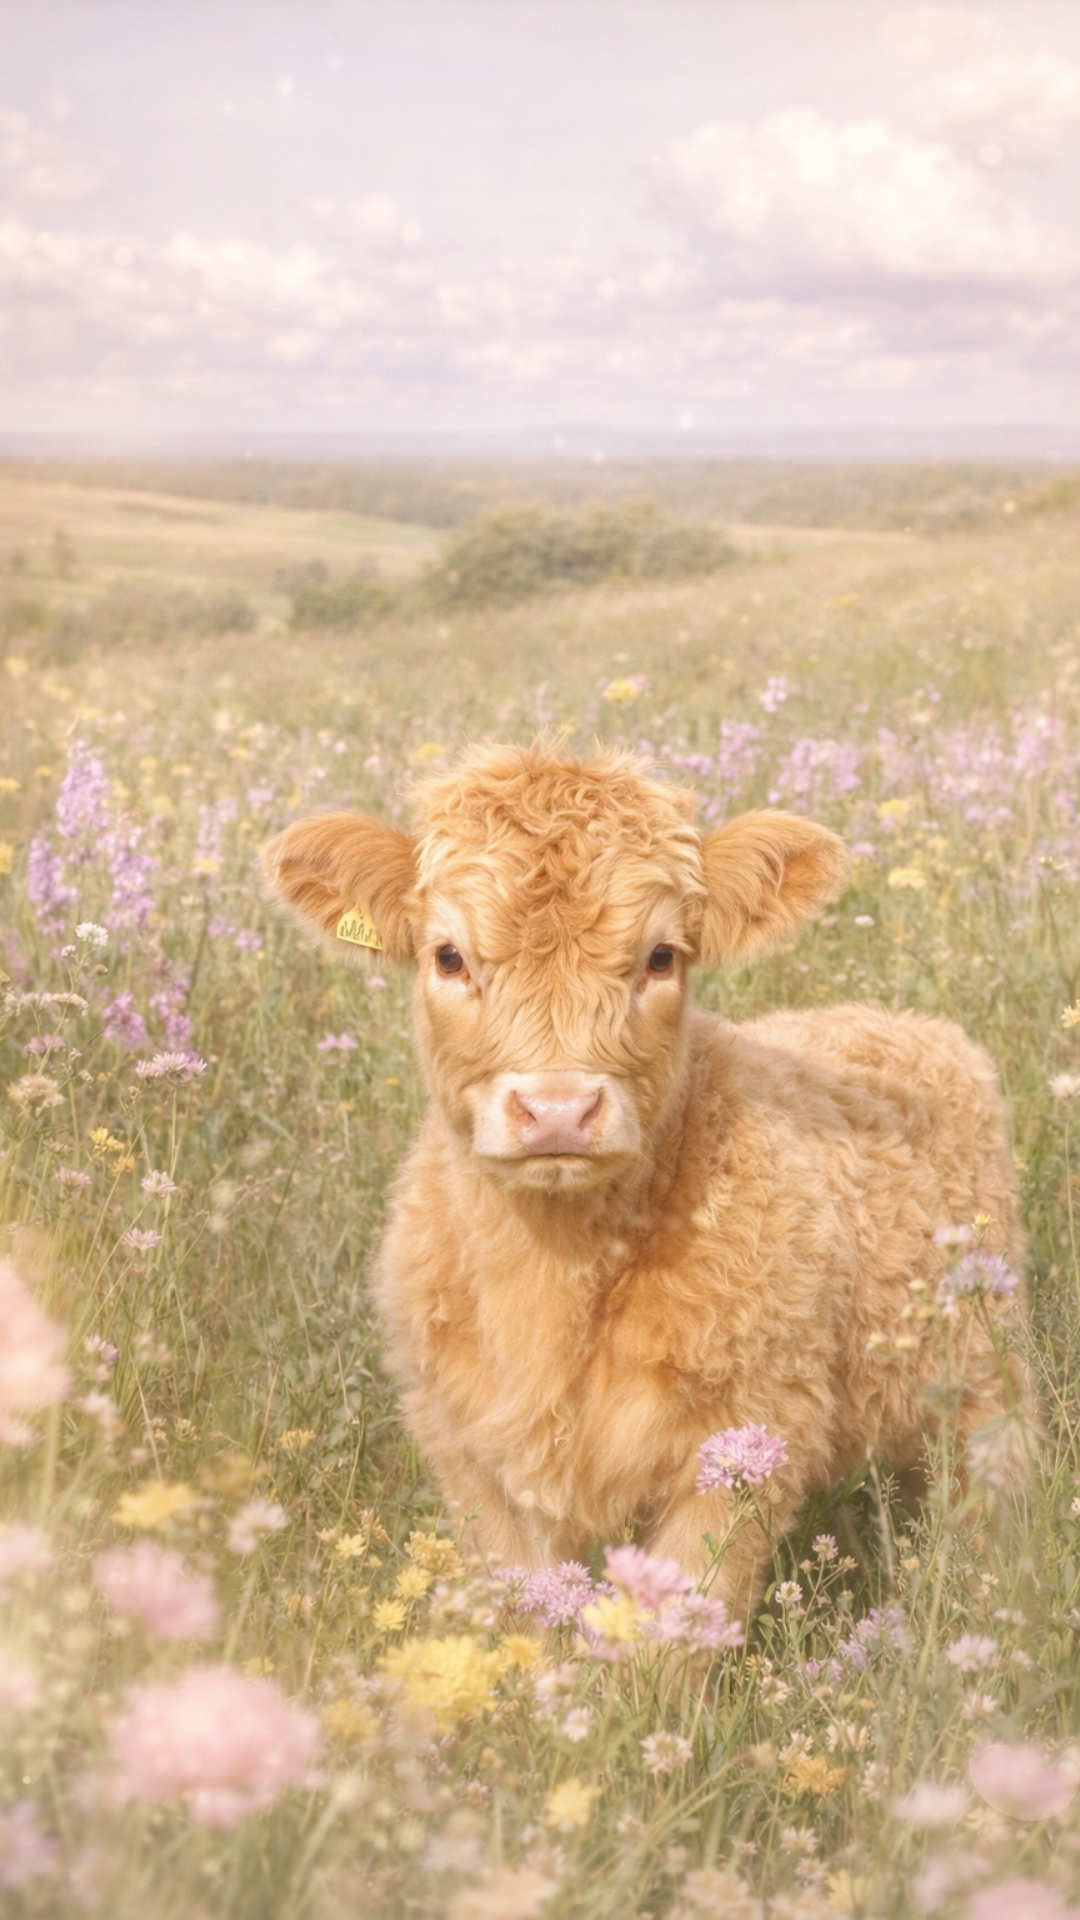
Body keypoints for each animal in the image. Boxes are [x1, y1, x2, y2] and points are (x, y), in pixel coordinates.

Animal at [264, 741, 1028, 1610]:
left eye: (661, 956)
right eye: (448, 956)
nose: (557, 1110)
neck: (554, 1277)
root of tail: (894, 1020)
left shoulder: (754, 1429)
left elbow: (679, 1616)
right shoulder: (463, 1442)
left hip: (985, 1376)